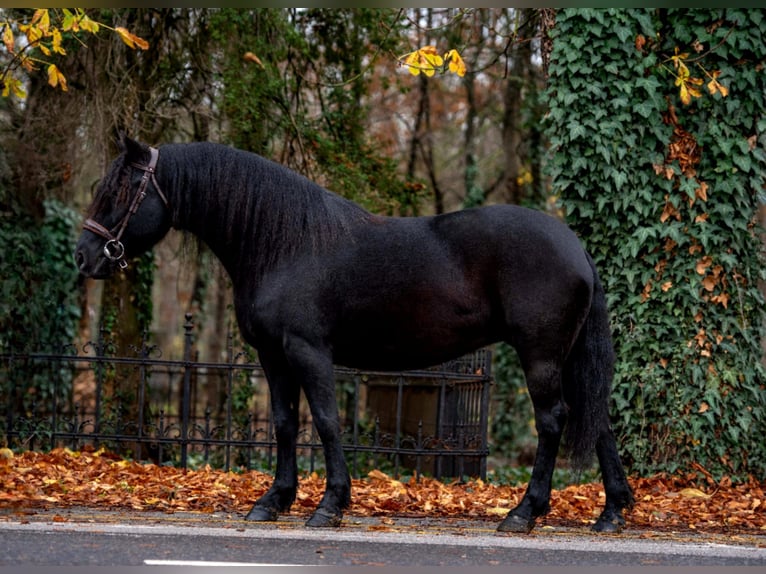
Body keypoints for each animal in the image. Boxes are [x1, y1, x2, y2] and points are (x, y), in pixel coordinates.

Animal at [74, 136, 634, 533]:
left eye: (121, 192)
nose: (84, 256)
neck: (283, 244)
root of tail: (574, 246)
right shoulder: (273, 358)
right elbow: (284, 423)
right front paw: (272, 502)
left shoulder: (309, 352)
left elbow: (325, 422)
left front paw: (330, 506)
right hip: (568, 356)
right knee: (597, 418)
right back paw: (611, 513)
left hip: (540, 356)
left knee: (553, 420)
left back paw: (523, 513)